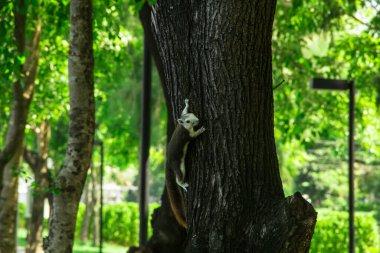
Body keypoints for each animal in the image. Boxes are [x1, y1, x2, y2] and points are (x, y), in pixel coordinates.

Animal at [166, 98, 206, 227]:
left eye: (192, 114)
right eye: (188, 121)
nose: (198, 120)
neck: (183, 126)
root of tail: (168, 163)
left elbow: (183, 110)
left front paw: (186, 103)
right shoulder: (188, 135)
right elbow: (194, 135)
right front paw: (201, 130)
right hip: (179, 167)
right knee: (178, 178)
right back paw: (183, 184)